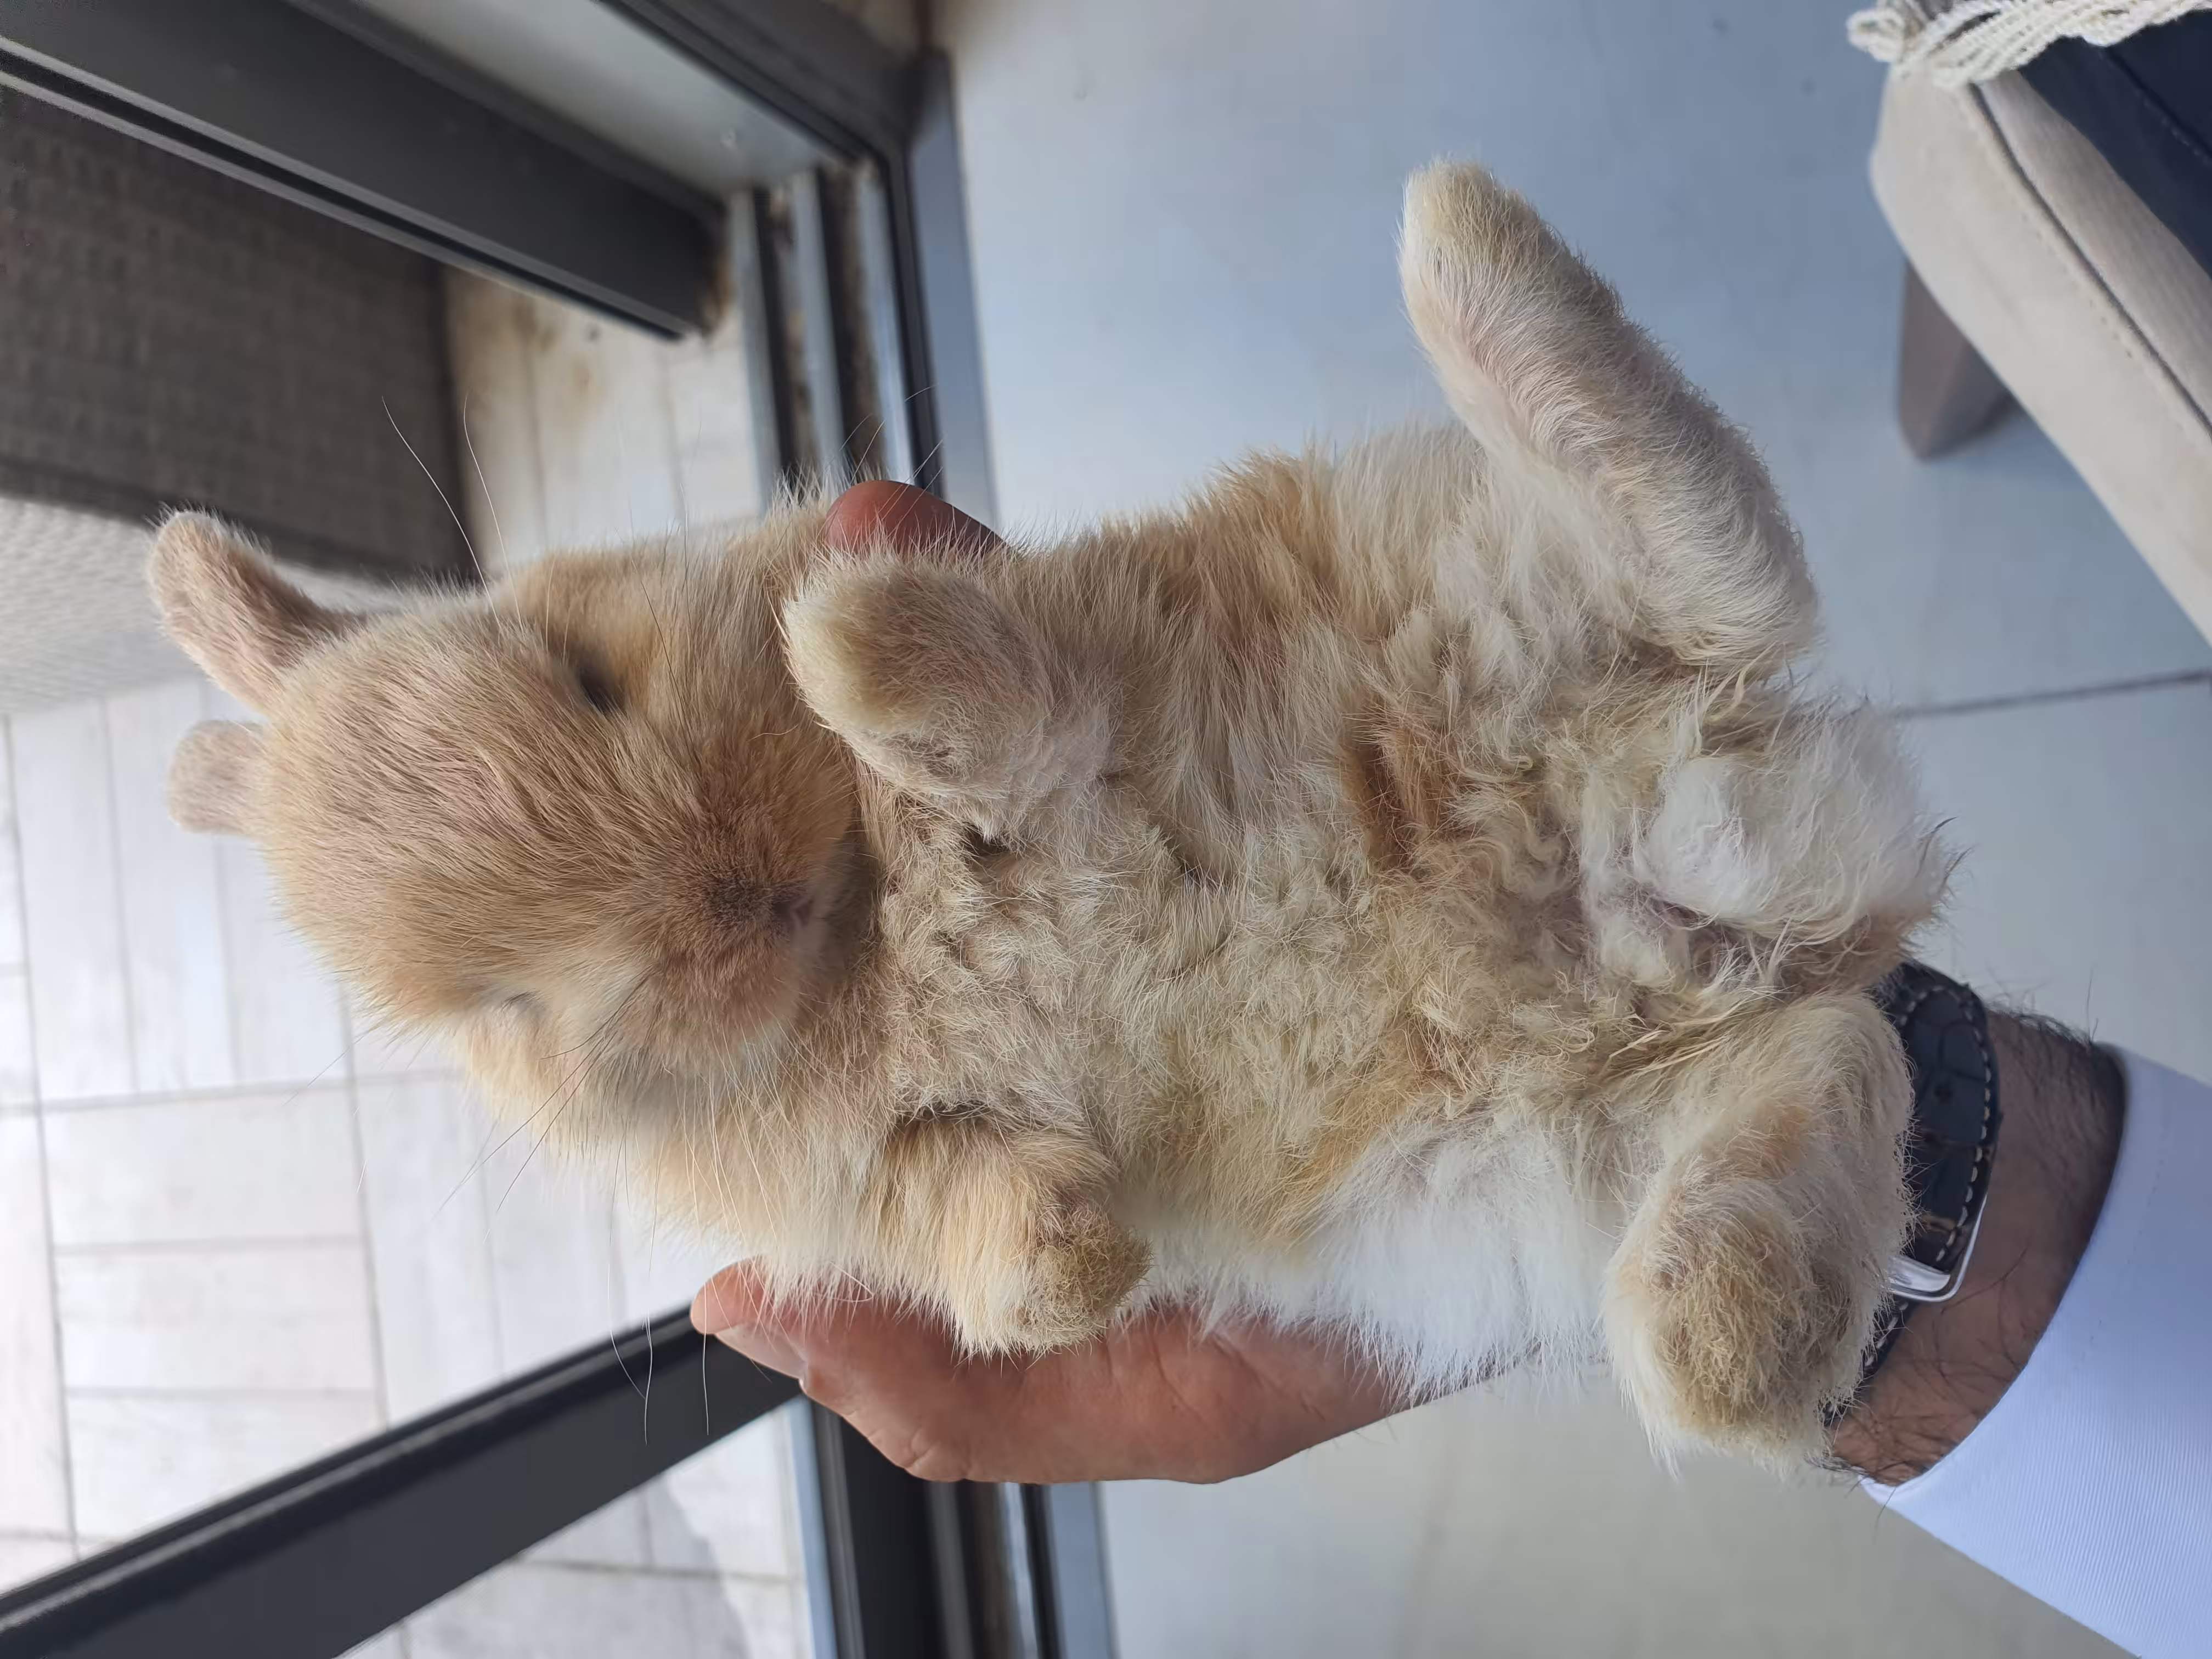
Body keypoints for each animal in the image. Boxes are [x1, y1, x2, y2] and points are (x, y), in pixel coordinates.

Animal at [149, 163, 1940, 1465]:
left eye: (584, 668)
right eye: (498, 1003)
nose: (724, 902)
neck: (867, 931)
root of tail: (1671, 875)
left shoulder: (1086, 675)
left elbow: (1007, 716)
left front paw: (839, 641)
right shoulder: (886, 1181)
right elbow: (986, 1227)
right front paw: (1088, 1255)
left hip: (1487, 595)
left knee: (1713, 549)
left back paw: (1460, 235)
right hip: (1576, 1150)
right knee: (1833, 1066)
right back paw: (1725, 1325)